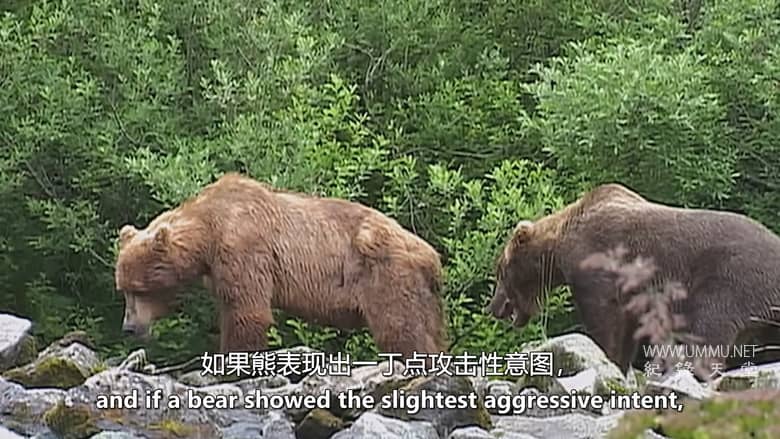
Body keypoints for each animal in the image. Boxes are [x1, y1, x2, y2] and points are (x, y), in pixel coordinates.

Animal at [114, 172, 447, 359]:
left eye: (139, 289)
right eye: (124, 289)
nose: (129, 327)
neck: (207, 232)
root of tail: (431, 255)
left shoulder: (243, 247)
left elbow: (246, 310)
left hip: (387, 276)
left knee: (401, 329)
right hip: (422, 292)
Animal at [486, 183, 780, 375]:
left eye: (500, 270)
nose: (493, 307)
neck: (560, 247)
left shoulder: (598, 266)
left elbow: (604, 320)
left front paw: (607, 357)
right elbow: (628, 329)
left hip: (731, 278)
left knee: (709, 327)